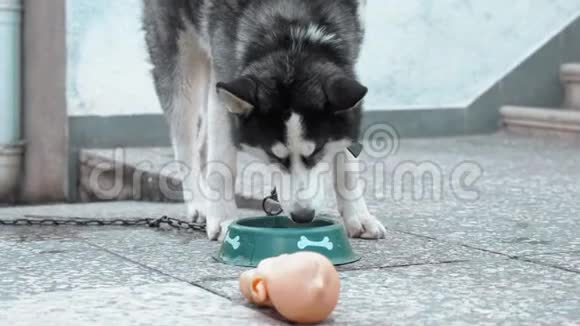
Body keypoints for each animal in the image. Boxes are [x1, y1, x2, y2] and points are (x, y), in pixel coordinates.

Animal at [142, 0, 386, 239]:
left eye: (317, 151)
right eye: (273, 155)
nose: (303, 216)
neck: (292, 35)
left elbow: (346, 161)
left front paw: (358, 216)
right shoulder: (226, 76)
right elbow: (223, 162)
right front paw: (222, 218)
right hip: (181, 59)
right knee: (184, 141)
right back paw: (200, 202)